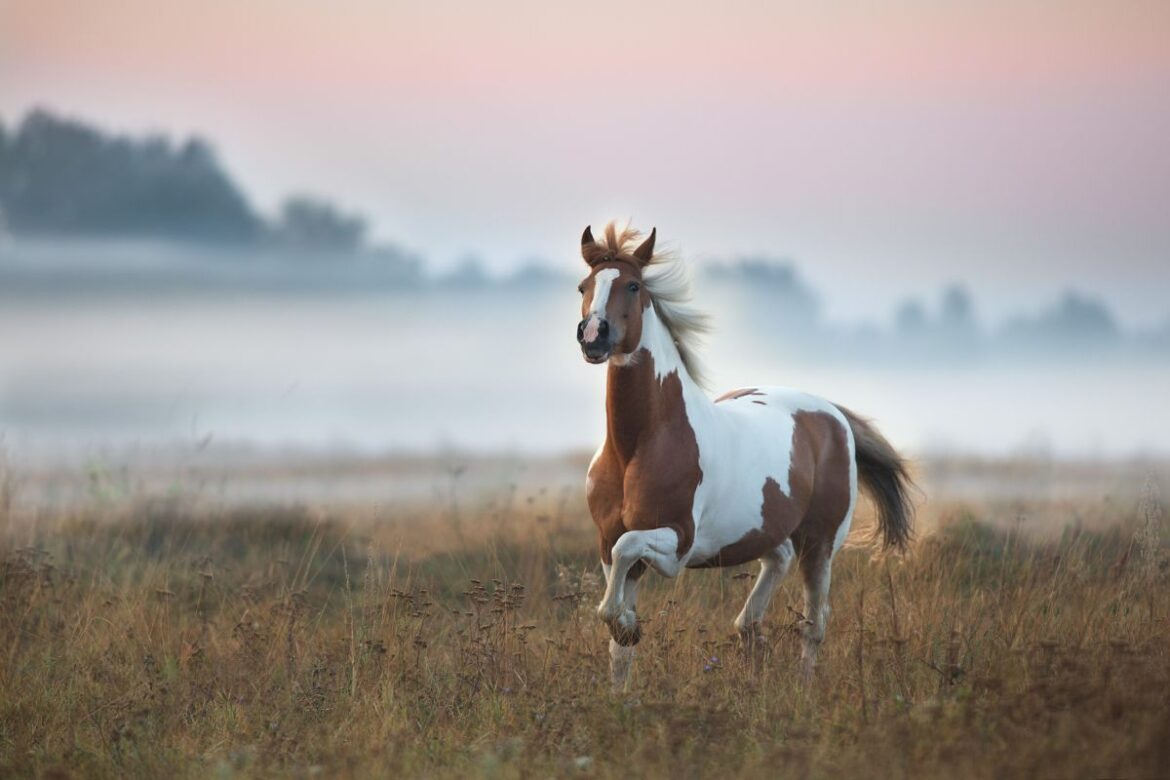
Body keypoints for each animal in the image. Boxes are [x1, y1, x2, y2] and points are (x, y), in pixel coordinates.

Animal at [574, 222, 914, 691]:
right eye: (583, 286)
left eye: (633, 285)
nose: (594, 336)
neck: (636, 447)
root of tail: (832, 414)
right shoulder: (608, 545)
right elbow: (617, 639)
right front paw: (620, 681)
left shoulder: (676, 544)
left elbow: (624, 574)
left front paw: (627, 625)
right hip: (769, 534)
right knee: (770, 579)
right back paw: (755, 644)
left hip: (821, 542)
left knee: (814, 622)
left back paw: (802, 688)